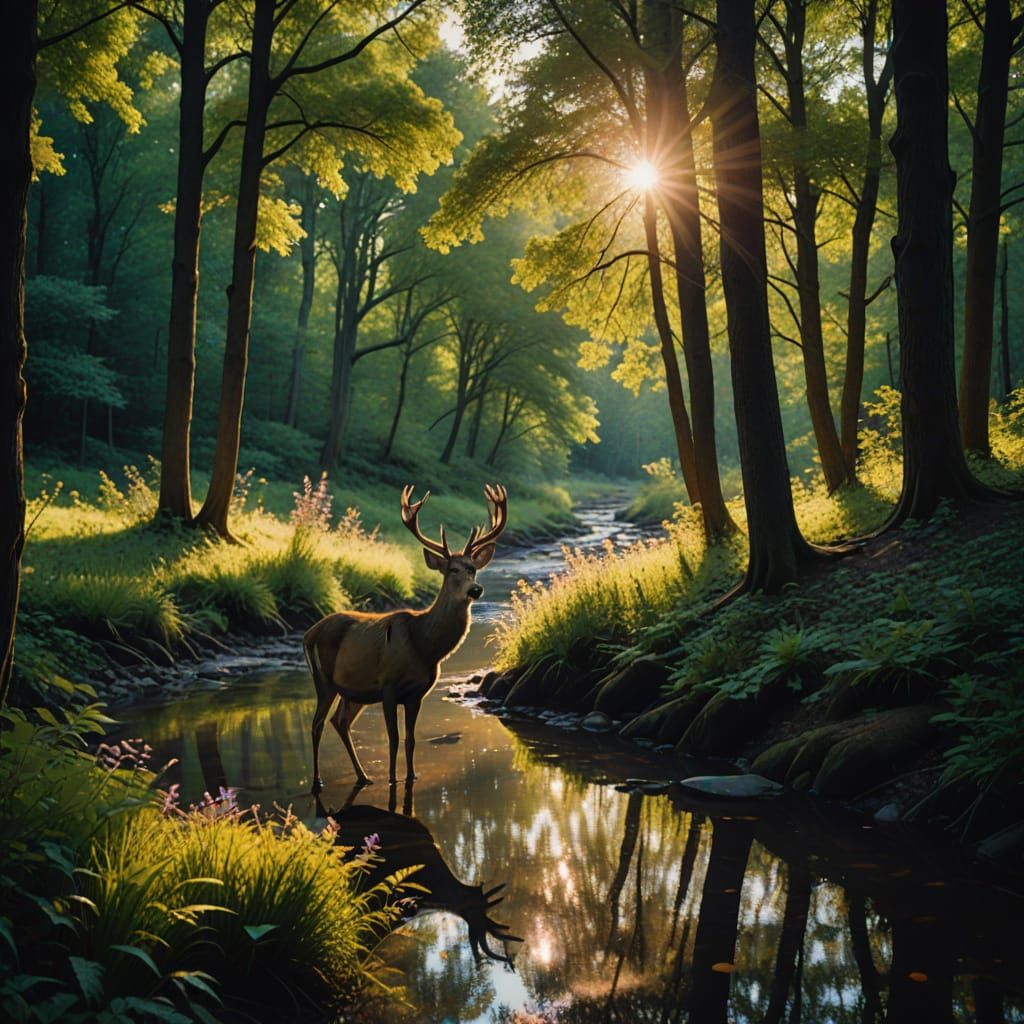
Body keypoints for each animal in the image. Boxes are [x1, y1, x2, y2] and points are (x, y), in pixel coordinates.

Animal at [304, 483, 508, 793]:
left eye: (473, 568)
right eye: (452, 569)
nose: (475, 590)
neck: (423, 646)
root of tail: (307, 633)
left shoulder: (417, 693)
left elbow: (411, 739)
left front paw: (411, 776)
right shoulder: (388, 685)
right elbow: (394, 739)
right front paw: (392, 779)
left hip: (354, 691)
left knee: (339, 721)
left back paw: (363, 776)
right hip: (323, 678)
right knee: (316, 724)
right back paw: (318, 782)